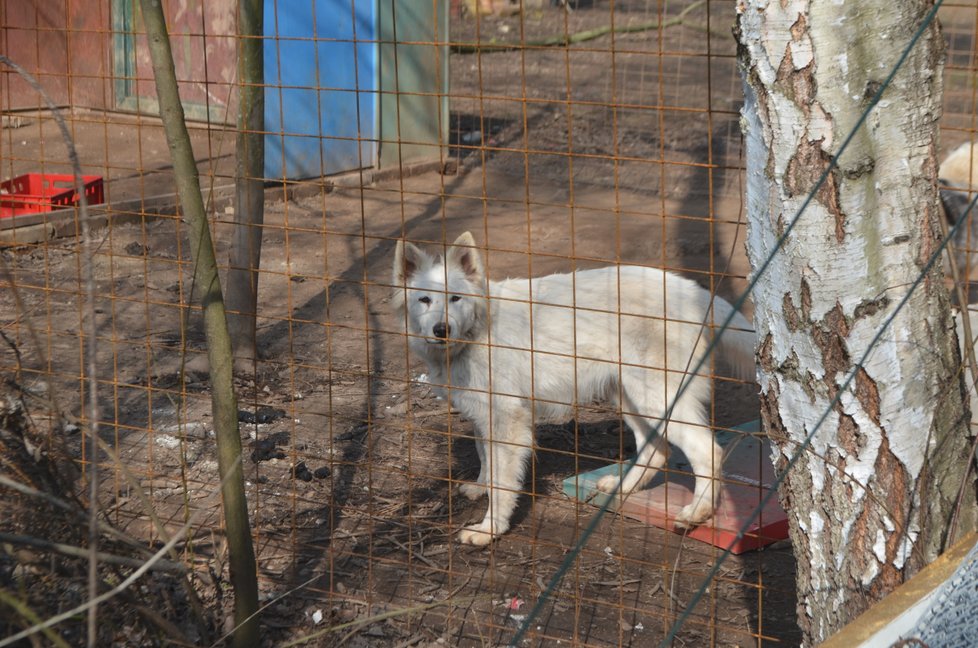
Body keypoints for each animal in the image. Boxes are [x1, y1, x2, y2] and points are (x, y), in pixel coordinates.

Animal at [390, 233, 756, 548]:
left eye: (456, 299)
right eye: (425, 300)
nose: (441, 329)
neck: (477, 331)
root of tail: (692, 289)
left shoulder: (507, 420)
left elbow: (502, 483)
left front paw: (489, 529)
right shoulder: (484, 416)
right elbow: (485, 459)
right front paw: (479, 489)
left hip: (657, 400)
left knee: (708, 451)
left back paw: (696, 513)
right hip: (630, 399)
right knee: (657, 450)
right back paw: (619, 488)